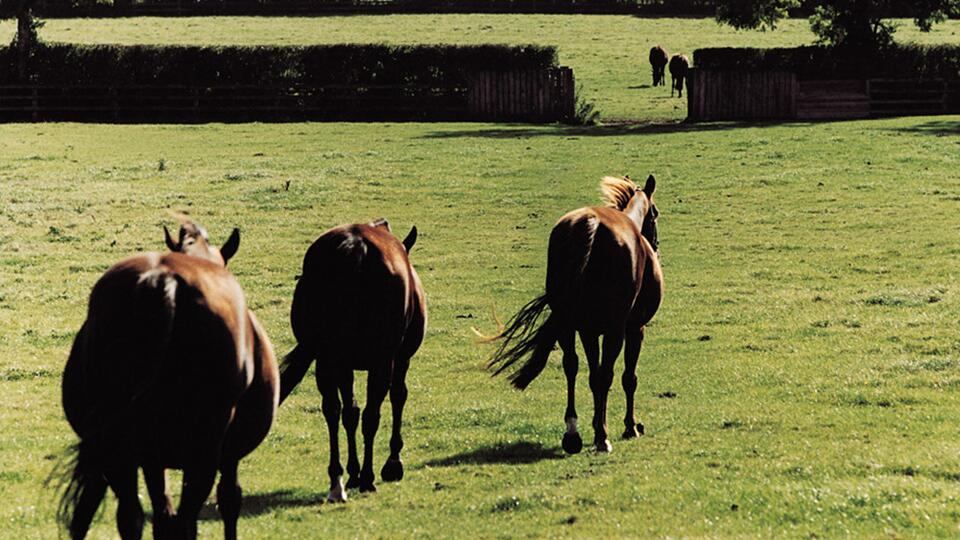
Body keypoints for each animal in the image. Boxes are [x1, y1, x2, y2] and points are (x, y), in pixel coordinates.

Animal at [57, 219, 278, 540]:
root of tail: (163, 281)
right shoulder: (227, 456)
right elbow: (229, 501)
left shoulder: (150, 458)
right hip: (201, 452)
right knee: (184, 520)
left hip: (118, 449)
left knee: (132, 516)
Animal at [278, 218, 428, 502]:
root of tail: (356, 246)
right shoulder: (399, 358)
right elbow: (398, 397)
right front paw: (392, 463)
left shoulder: (342, 364)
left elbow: (350, 412)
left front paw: (353, 472)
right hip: (380, 360)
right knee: (371, 415)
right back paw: (368, 478)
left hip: (327, 359)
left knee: (333, 410)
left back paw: (337, 480)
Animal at [488, 175, 660, 454]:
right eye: (655, 213)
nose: (655, 245)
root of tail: (590, 224)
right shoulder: (634, 329)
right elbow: (627, 378)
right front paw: (628, 427)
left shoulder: (589, 331)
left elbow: (592, 375)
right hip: (613, 330)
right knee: (606, 375)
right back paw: (602, 438)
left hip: (568, 325)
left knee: (572, 365)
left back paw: (572, 433)